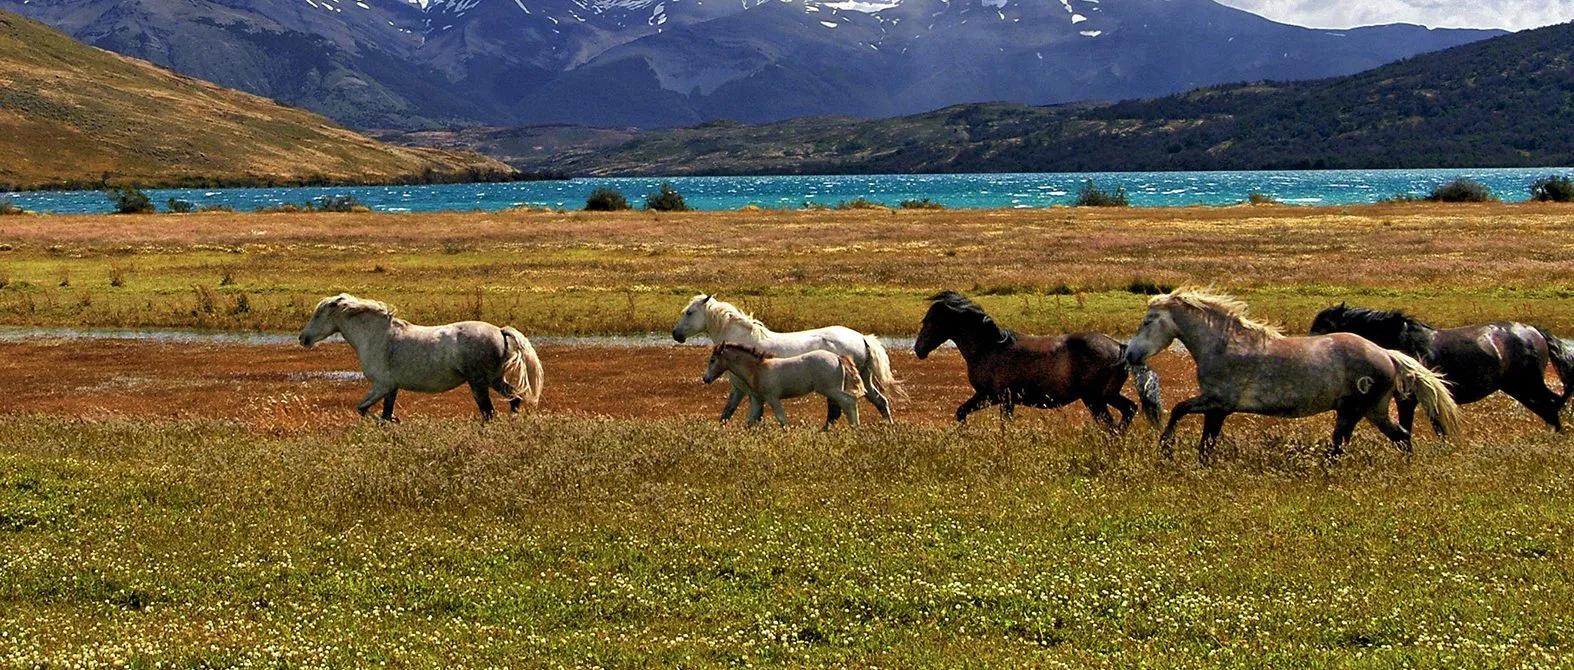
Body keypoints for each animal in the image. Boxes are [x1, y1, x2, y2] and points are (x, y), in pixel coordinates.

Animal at [298, 293, 544, 422]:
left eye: (318, 314)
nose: (303, 338)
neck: (376, 336)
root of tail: (500, 331)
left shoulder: (381, 385)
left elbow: (363, 409)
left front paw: (395, 421)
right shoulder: (391, 388)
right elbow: (384, 414)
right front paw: (393, 423)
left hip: (479, 383)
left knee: (489, 412)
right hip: (494, 380)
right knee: (515, 398)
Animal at [701, 343, 864, 429]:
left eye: (712, 360)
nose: (705, 378)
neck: (757, 370)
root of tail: (837, 357)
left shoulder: (772, 398)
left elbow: (782, 419)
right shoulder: (758, 399)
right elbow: (750, 421)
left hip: (830, 389)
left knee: (849, 401)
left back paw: (855, 428)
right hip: (833, 390)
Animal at [913, 290, 1163, 431]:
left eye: (929, 321)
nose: (918, 350)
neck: (988, 348)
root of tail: (1121, 348)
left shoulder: (996, 397)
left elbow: (992, 421)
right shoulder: (994, 398)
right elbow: (962, 412)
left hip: (1095, 399)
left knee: (1113, 422)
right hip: (1106, 396)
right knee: (1129, 409)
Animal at [1123, 288, 1460, 462]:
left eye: (1148, 321)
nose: (1130, 355)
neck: (1224, 345)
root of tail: (1387, 354)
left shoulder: (1217, 402)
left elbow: (1180, 412)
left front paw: (1166, 448)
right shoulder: (1217, 408)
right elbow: (1205, 441)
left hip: (1353, 411)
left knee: (1341, 446)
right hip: (1373, 411)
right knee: (1401, 437)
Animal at [1309, 303, 1574, 432]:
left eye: (1325, 325)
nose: (1308, 346)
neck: (1401, 341)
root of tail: (1534, 331)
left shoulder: (1408, 399)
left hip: (1527, 384)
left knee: (1551, 404)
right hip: (1517, 387)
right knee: (1549, 406)